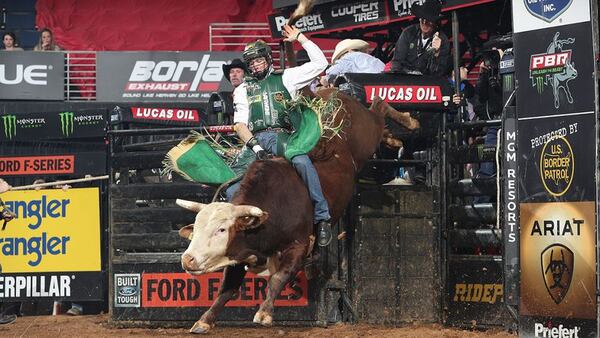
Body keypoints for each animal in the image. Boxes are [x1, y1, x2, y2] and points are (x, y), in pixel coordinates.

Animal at [175, 90, 398, 332]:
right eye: (196, 229)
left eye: (222, 230)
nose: (188, 259)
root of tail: (331, 97)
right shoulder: (240, 251)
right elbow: (227, 288)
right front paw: (204, 320)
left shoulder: (298, 245)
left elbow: (278, 278)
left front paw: (264, 313)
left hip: (367, 132)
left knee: (378, 111)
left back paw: (400, 123)